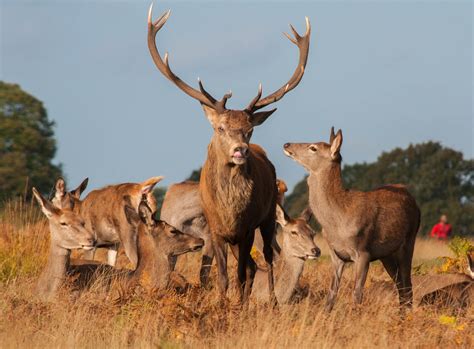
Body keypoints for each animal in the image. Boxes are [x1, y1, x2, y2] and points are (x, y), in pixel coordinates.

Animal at [148, 2, 312, 304]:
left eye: (249, 129)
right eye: (221, 127)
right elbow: (224, 276)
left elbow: (241, 274)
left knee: (266, 261)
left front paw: (240, 305)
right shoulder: (215, 231)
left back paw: (271, 300)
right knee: (251, 266)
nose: (240, 150)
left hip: (267, 219)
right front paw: (223, 303)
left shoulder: (246, 228)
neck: (230, 212)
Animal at [284, 128, 420, 310]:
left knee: (407, 285)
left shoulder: (363, 252)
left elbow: (357, 295)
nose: (286, 144)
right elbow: (331, 295)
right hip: (387, 254)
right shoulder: (336, 255)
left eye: (313, 148)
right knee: (400, 286)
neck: (337, 222)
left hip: (409, 241)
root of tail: (413, 200)